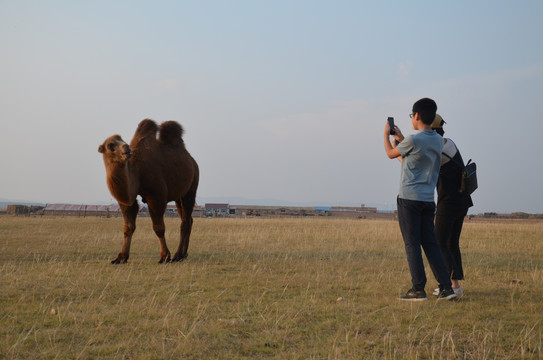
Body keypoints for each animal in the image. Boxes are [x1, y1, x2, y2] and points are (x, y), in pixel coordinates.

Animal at [98, 119, 200, 262]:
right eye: (111, 145)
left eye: (122, 139)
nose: (126, 148)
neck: (136, 172)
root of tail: (192, 160)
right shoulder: (127, 201)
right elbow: (128, 227)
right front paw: (121, 257)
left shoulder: (156, 196)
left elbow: (158, 227)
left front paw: (164, 256)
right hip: (179, 196)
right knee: (188, 219)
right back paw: (183, 254)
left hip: (192, 186)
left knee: (185, 221)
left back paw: (177, 255)